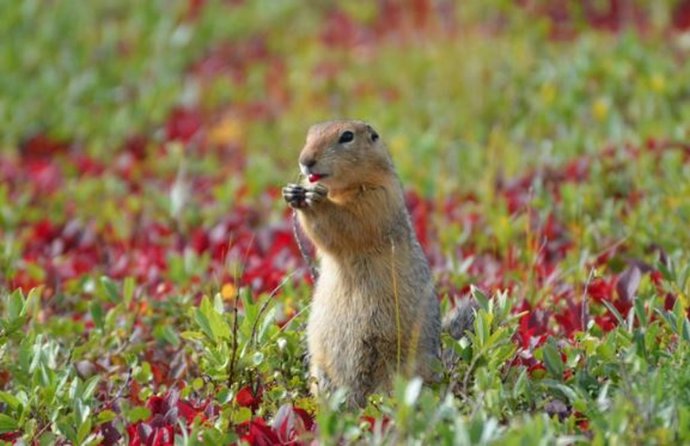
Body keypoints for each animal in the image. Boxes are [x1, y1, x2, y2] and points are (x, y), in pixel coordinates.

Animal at [282, 120, 448, 408]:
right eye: (309, 135)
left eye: (347, 136)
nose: (305, 161)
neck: (343, 188)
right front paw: (294, 192)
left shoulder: (377, 197)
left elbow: (350, 221)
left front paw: (316, 199)